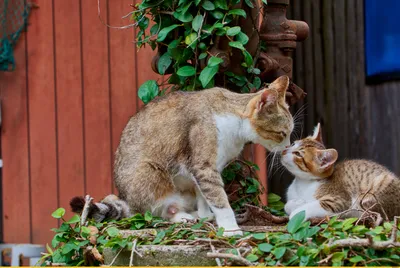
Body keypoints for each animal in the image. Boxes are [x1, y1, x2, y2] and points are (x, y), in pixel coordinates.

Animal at [114, 75, 292, 234]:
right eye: (282, 133)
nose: (287, 147)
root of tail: (126, 201)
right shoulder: (204, 166)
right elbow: (219, 199)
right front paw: (231, 229)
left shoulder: (210, 168)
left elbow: (204, 195)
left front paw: (206, 215)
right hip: (151, 174)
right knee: (157, 212)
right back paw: (183, 216)